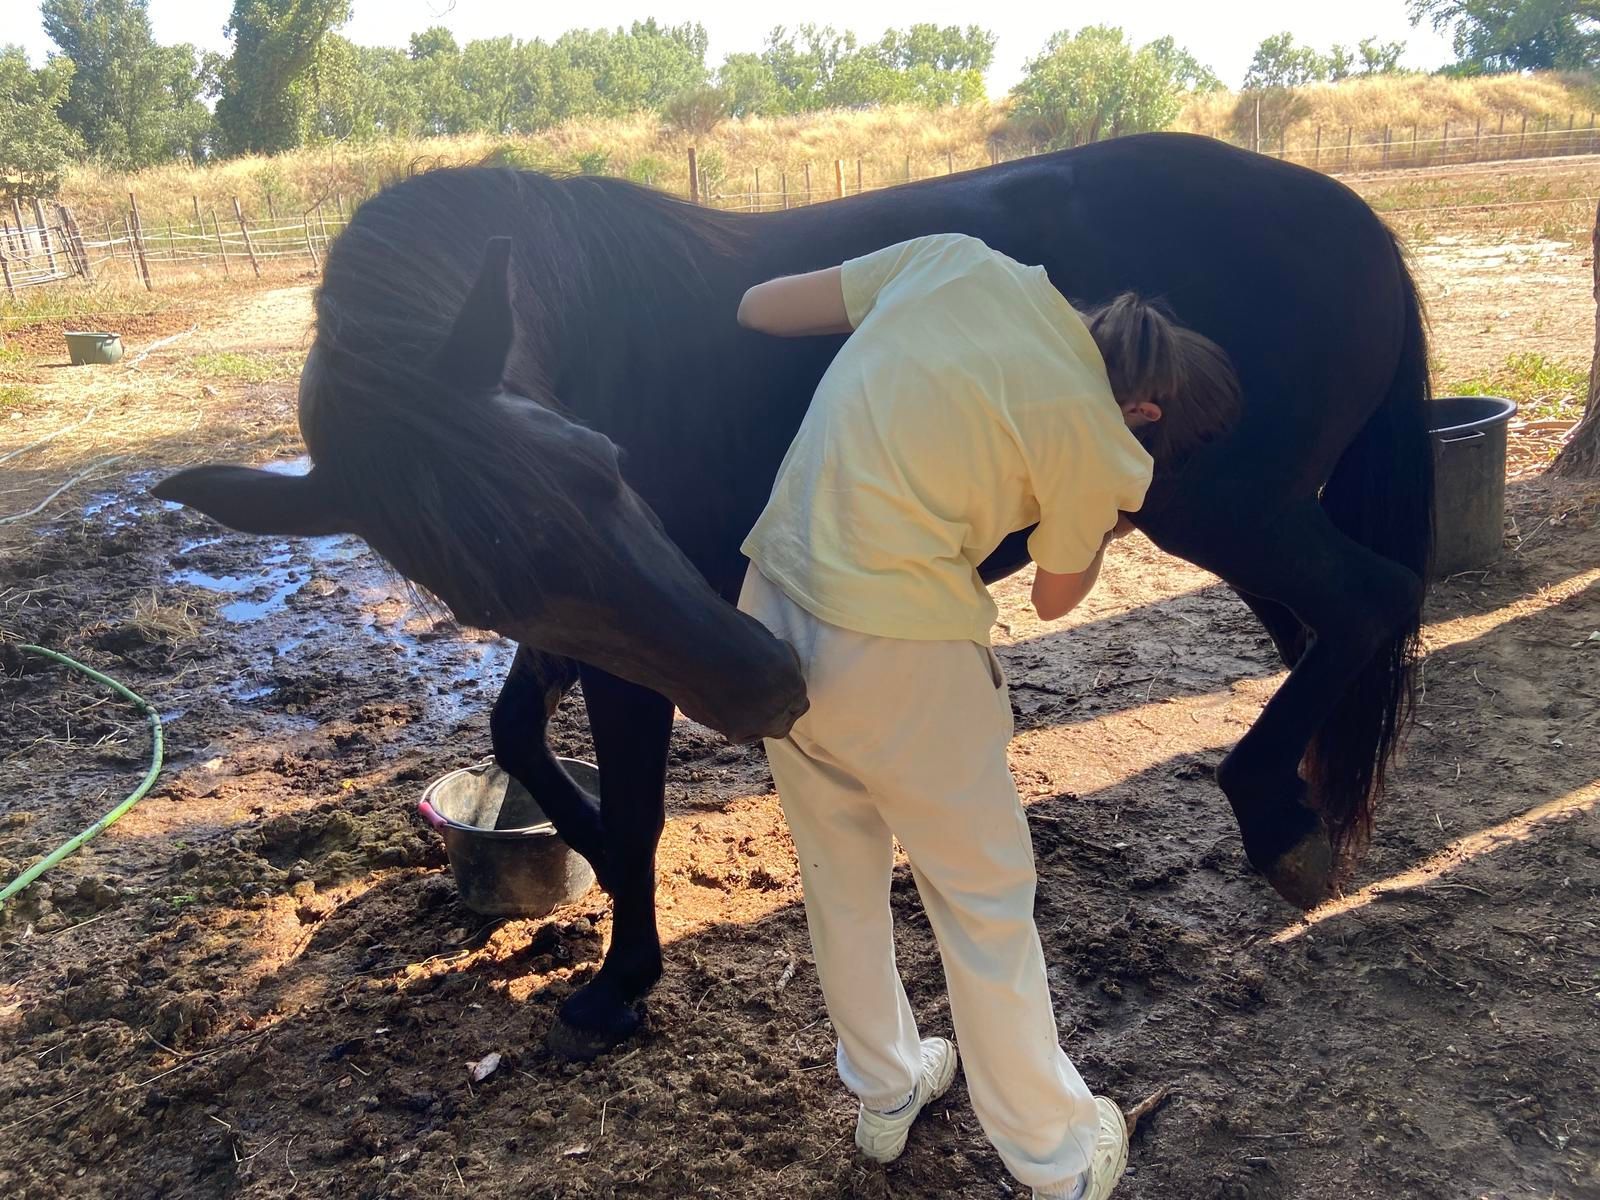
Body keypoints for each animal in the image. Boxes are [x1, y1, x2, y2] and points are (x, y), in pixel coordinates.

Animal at [154, 132, 1433, 1060]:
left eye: (605, 464)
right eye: (479, 591)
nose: (767, 684)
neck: (581, 319)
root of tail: (1354, 217)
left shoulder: (640, 641)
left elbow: (633, 804)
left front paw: (618, 984)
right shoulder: (590, 627)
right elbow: (517, 731)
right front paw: (583, 850)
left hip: (1232, 511)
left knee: (1369, 602)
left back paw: (1279, 820)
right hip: (1247, 523)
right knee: (1329, 633)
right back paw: (1315, 817)